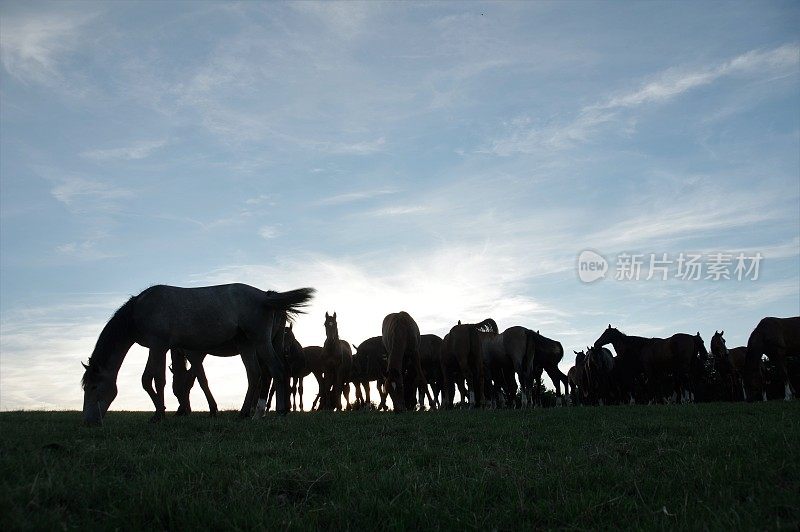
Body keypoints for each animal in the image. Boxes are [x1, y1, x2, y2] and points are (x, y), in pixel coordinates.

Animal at [80, 282, 312, 424]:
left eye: (93, 387)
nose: (88, 421)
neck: (141, 307)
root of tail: (266, 297)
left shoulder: (158, 346)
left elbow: (152, 380)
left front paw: (159, 414)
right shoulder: (161, 348)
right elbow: (156, 380)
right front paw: (162, 412)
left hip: (260, 342)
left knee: (276, 370)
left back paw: (275, 412)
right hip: (247, 345)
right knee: (255, 375)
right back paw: (245, 413)